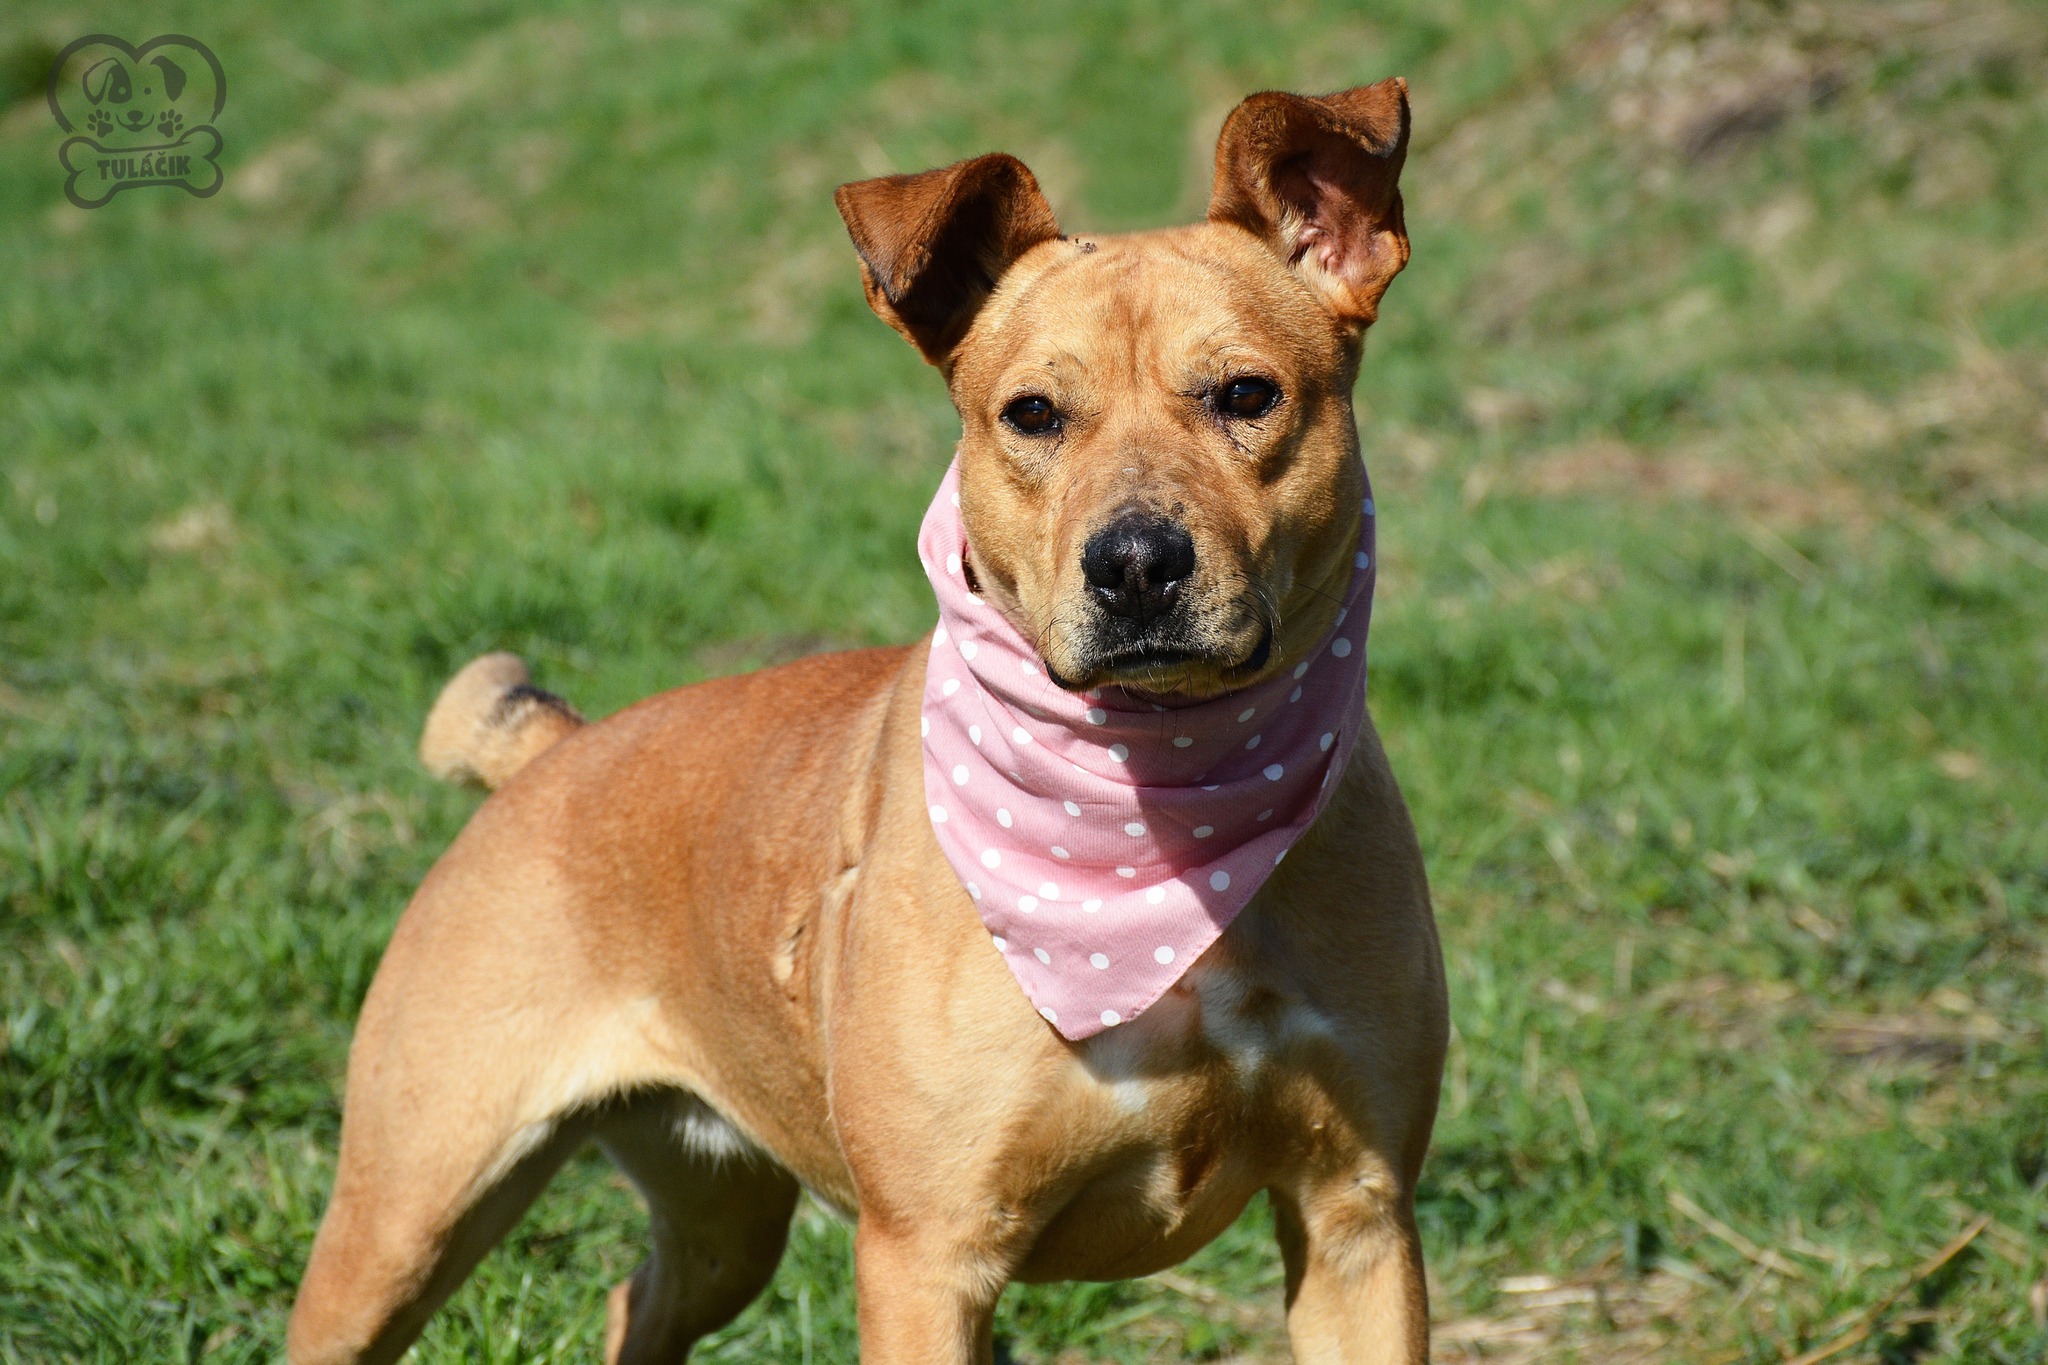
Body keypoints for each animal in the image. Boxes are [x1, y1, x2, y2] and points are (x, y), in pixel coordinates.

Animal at [288, 79, 1446, 1364]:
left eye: (1247, 394)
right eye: (1031, 414)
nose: (1137, 563)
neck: (1153, 816)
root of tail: (554, 752)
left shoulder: (1354, 1217)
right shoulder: (925, 1255)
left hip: (721, 1220)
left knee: (637, 1300)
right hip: (406, 1210)